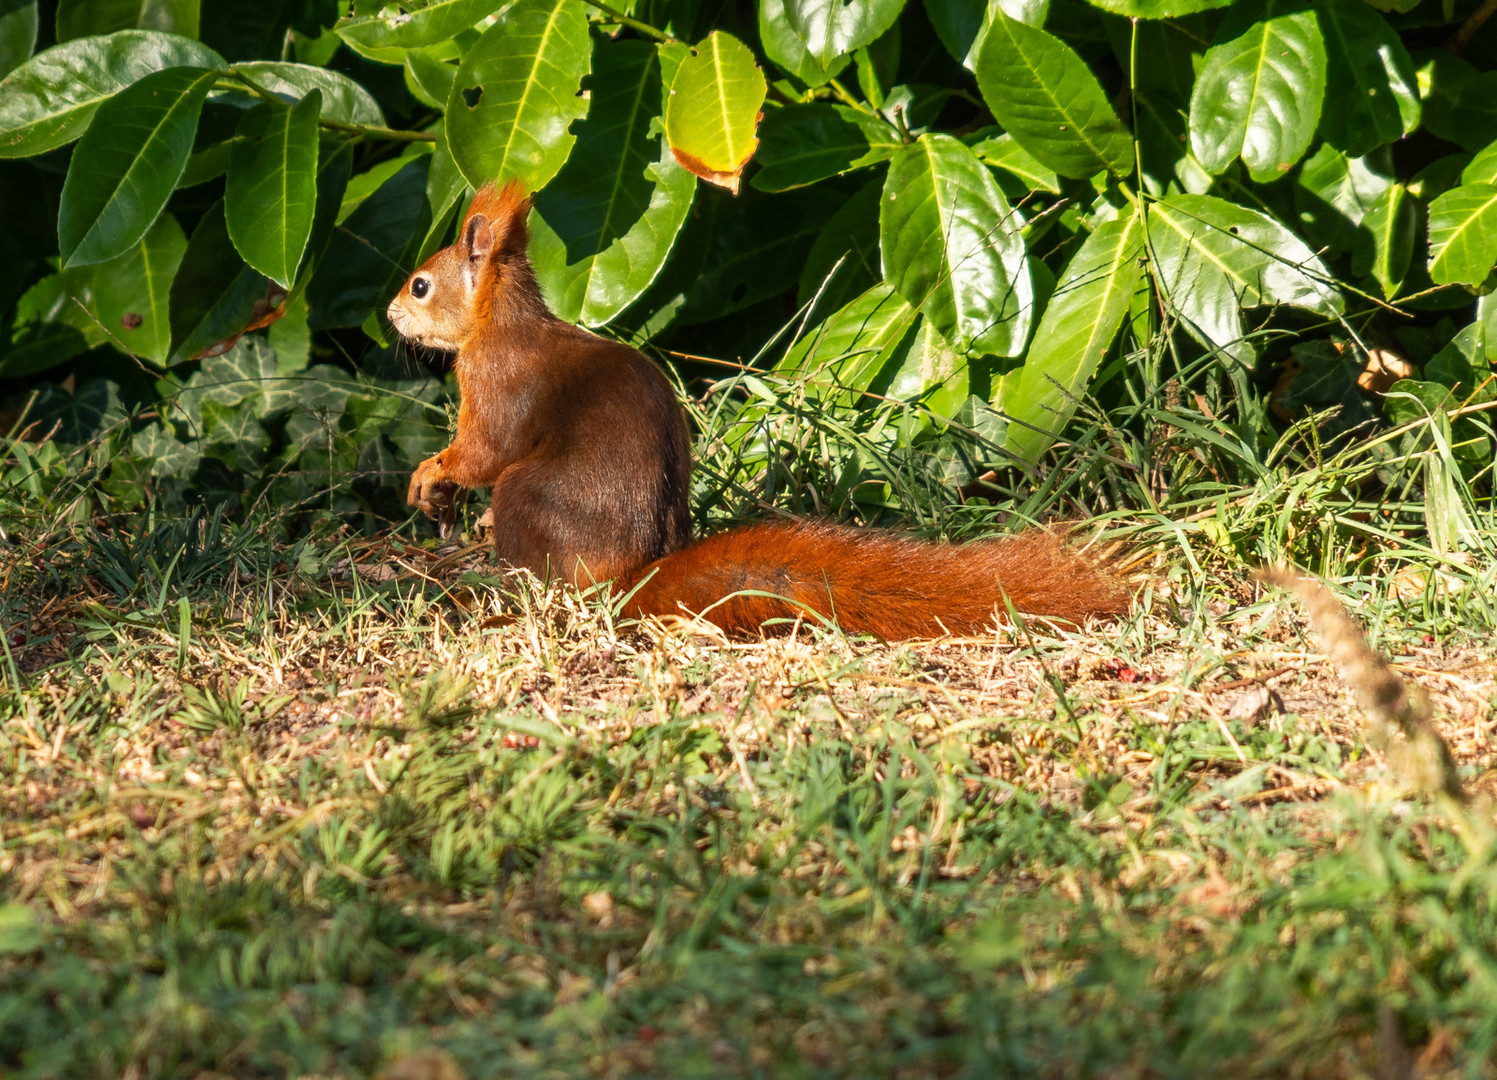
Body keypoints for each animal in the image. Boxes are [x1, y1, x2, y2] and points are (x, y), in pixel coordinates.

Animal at [380, 181, 1125, 635]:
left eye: (420, 285)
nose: (388, 314)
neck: (499, 322)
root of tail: (626, 577)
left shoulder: (495, 384)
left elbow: (484, 451)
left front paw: (432, 474)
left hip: (527, 499)